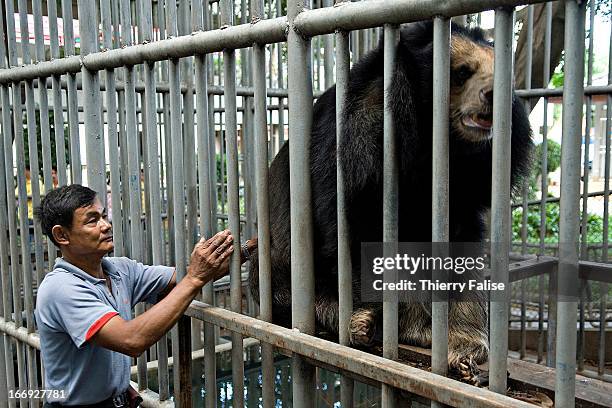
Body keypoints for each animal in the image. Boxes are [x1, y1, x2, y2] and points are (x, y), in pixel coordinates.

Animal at [247, 20, 532, 368]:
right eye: (462, 72)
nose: (494, 96)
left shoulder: (465, 189)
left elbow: (462, 249)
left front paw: (465, 344)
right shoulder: (361, 148)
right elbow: (361, 234)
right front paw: (415, 328)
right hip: (276, 266)